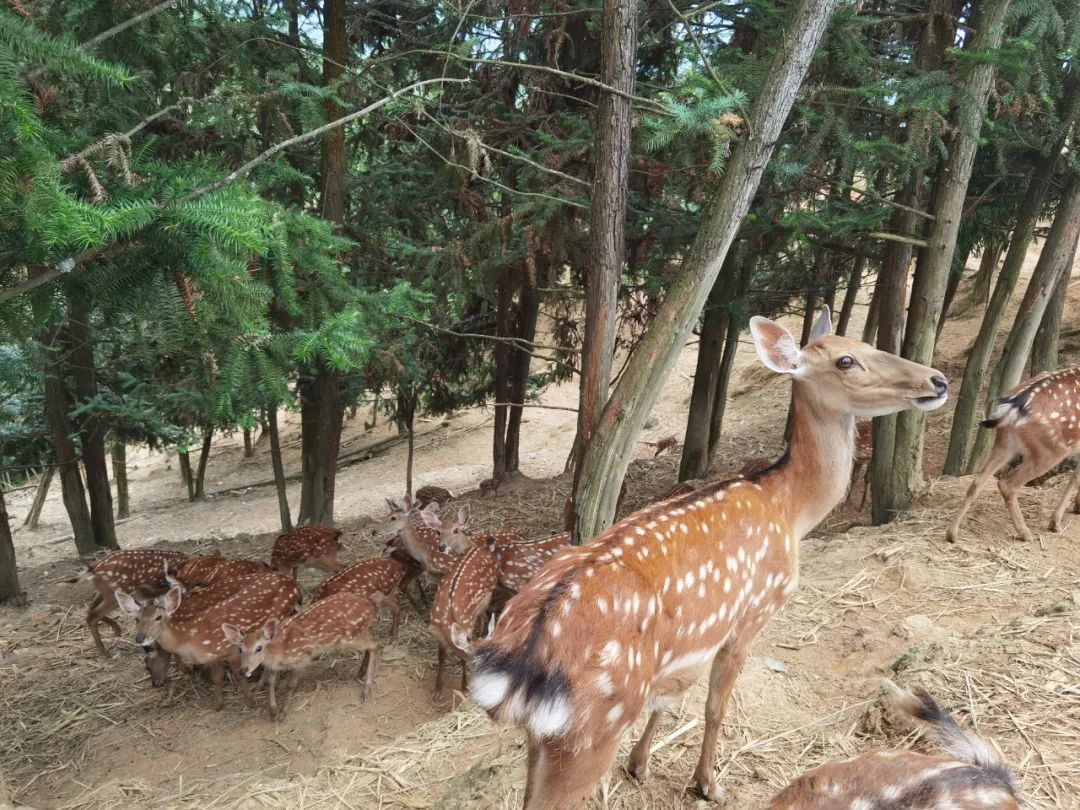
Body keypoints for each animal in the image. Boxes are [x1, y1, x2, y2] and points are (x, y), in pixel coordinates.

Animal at [116, 570, 300, 708]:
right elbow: (217, 677)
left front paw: (249, 702)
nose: (140, 637)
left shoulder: (231, 650)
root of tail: (292, 582)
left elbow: (239, 675)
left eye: (158, 617)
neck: (190, 638)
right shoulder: (214, 656)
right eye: (137, 619)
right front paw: (218, 705)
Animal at [221, 591, 382, 721]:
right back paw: (360, 673)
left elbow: (292, 684)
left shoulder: (302, 658)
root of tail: (372, 604)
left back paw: (366, 689)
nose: (243, 670)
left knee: (375, 644)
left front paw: (283, 713)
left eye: (258, 648)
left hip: (350, 636)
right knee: (371, 644)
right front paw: (273, 710)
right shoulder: (274, 666)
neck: (279, 650)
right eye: (240, 649)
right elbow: (270, 682)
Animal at [468, 306, 950, 807]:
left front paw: (640, 765)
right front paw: (708, 783)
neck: (790, 509)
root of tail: (520, 664)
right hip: (592, 728)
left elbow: (671, 699)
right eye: (846, 361)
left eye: (867, 343)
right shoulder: (750, 617)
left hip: (544, 737)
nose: (937, 380)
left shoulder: (694, 644)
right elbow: (715, 707)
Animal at [946, 367, 1080, 546]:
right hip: (1051, 449)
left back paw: (952, 534)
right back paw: (1025, 533)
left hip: (1004, 442)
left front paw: (1072, 511)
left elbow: (1075, 477)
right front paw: (1055, 523)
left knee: (977, 481)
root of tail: (1013, 407)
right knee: (1007, 484)